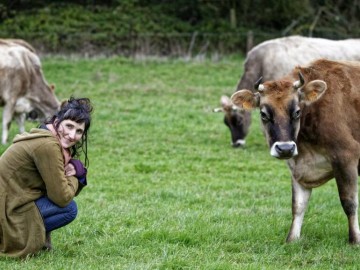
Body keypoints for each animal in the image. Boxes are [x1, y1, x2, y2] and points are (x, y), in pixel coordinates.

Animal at [229, 59, 360, 245]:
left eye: (297, 111)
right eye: (263, 114)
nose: (285, 148)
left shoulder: (346, 156)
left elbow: (349, 202)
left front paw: (355, 240)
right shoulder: (297, 166)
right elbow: (298, 205)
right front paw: (292, 238)